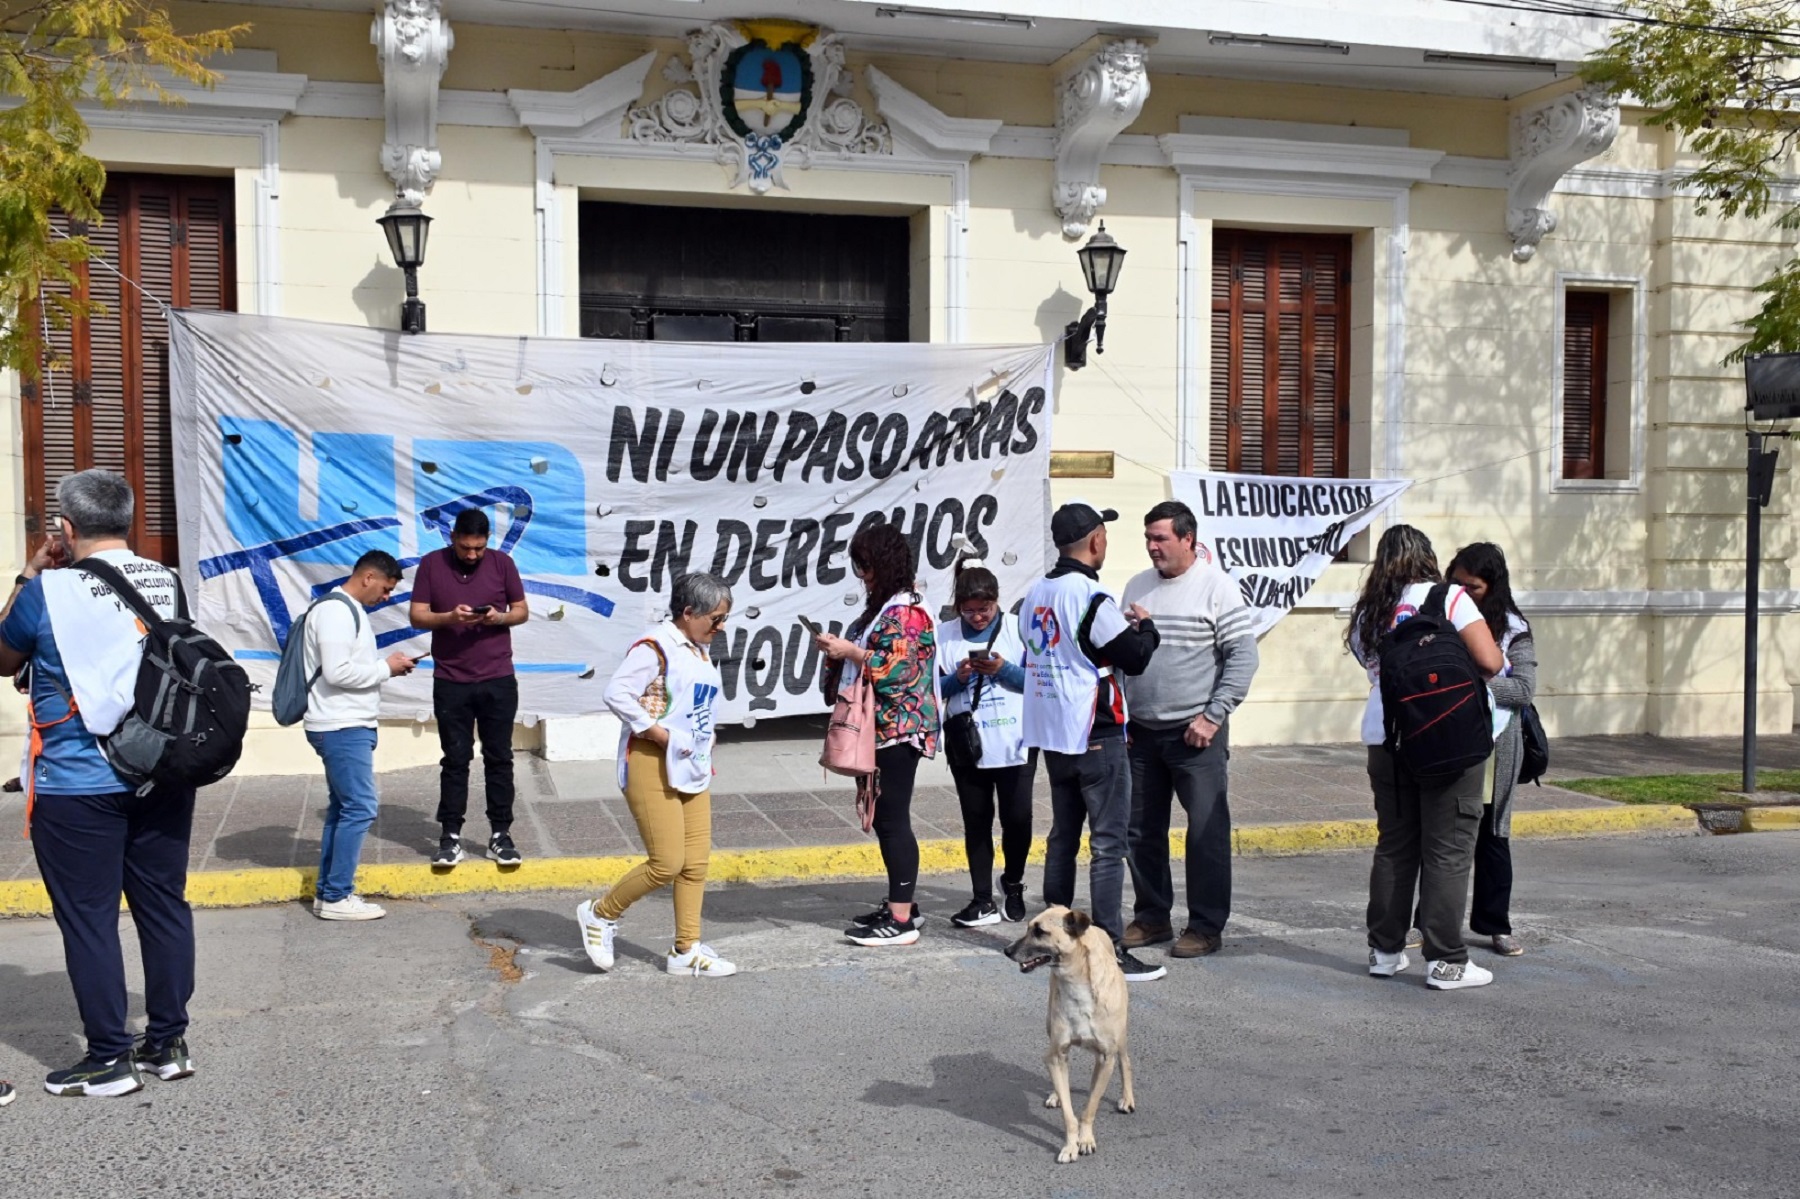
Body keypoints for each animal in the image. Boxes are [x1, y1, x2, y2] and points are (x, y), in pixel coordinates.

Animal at [1000, 907, 1137, 1159]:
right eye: (1028, 927)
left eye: (1040, 931)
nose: (1007, 951)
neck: (1077, 983)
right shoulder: (1057, 1054)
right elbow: (1069, 1113)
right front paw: (1071, 1145)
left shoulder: (1106, 1058)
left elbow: (1089, 1108)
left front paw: (1086, 1139)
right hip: (1050, 1030)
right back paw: (1055, 1094)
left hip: (1120, 1038)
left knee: (1125, 1061)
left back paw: (1127, 1098)